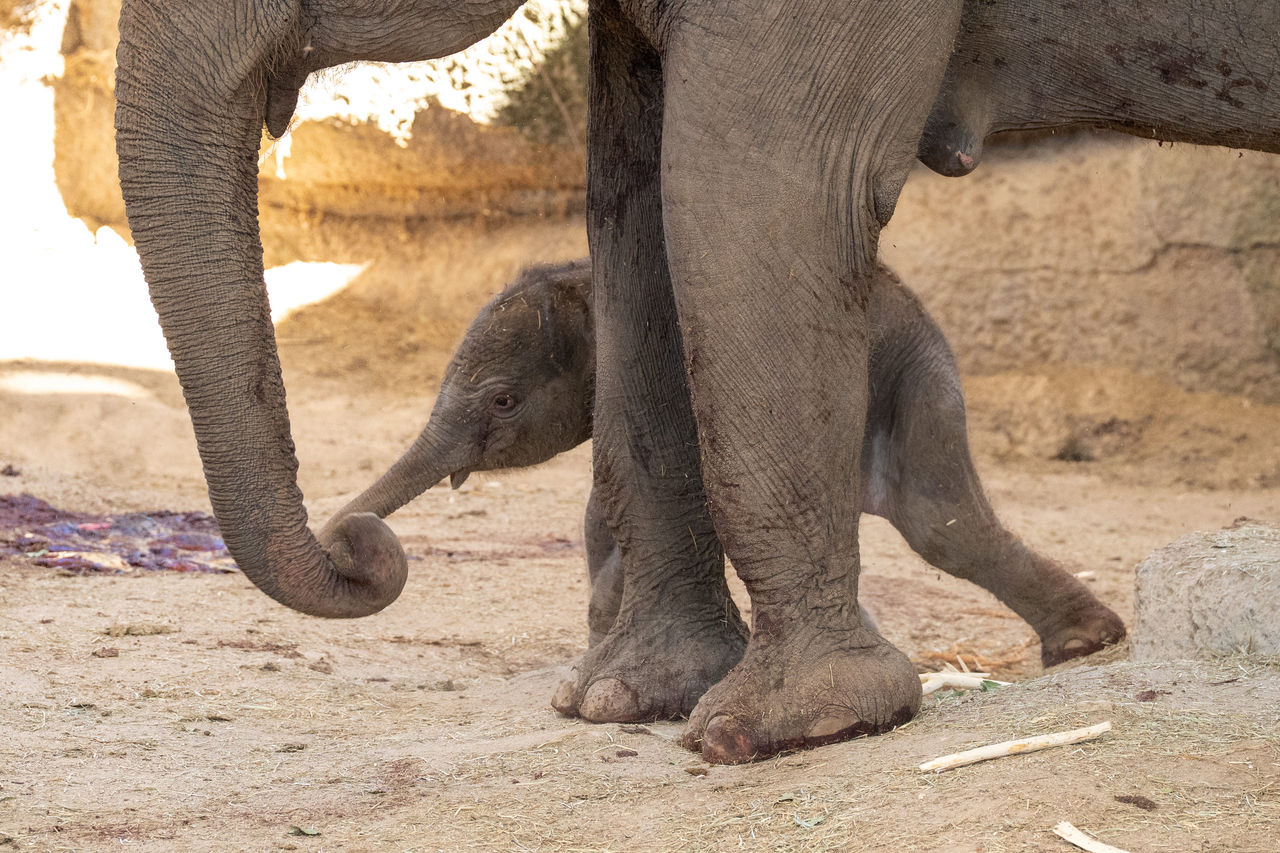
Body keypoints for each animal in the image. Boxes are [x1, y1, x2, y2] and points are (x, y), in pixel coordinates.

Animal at [323, 258, 1123, 661]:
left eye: (503, 401)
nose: (351, 539)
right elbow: (604, 507)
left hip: (913, 376)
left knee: (940, 523)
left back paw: (1087, 643)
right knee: (935, 520)